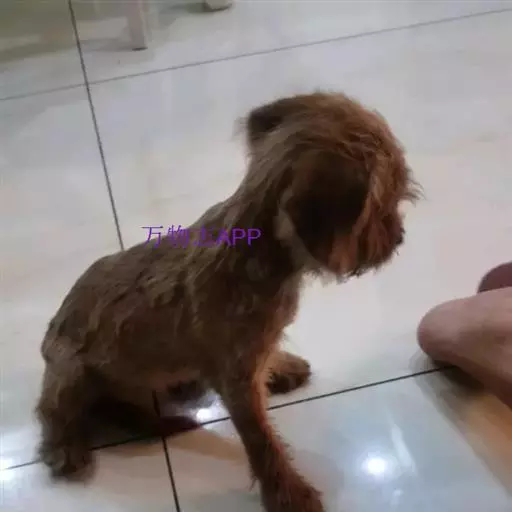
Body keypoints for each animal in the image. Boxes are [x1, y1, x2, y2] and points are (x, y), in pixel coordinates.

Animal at [36, 92, 419, 512]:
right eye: (382, 207)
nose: (399, 238)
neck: (262, 253)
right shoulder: (237, 382)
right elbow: (262, 441)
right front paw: (288, 491)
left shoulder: (250, 356)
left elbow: (268, 361)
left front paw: (281, 367)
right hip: (71, 370)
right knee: (58, 410)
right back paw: (69, 447)